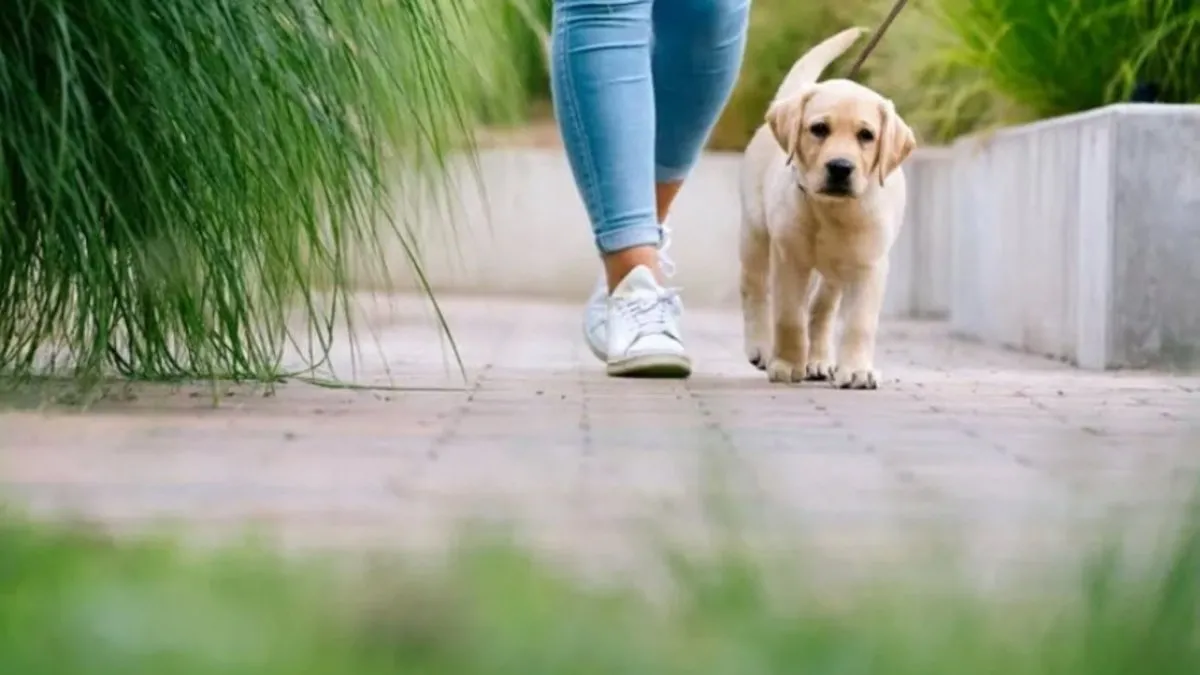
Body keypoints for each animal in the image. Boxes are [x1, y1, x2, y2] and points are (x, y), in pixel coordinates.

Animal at [734, 26, 912, 389]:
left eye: (866, 135)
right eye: (818, 129)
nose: (840, 167)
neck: (833, 210)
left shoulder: (870, 266)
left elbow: (858, 323)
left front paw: (856, 370)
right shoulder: (789, 259)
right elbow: (789, 317)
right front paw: (787, 363)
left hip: (835, 273)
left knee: (821, 308)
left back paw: (817, 360)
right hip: (755, 232)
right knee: (754, 286)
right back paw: (761, 347)